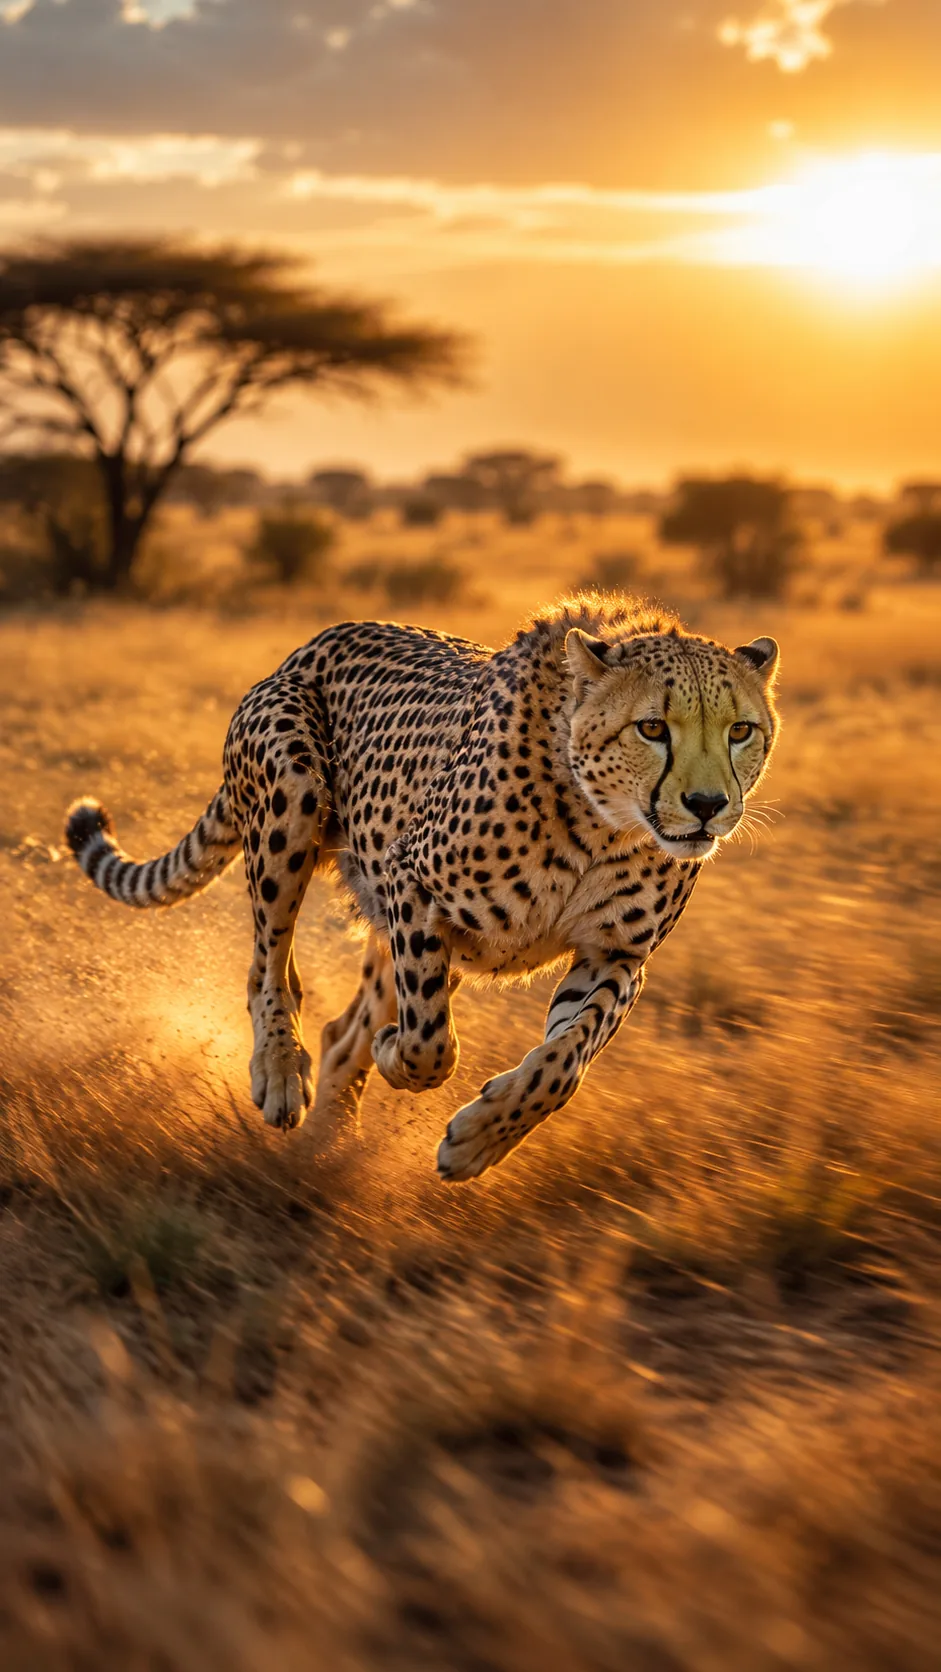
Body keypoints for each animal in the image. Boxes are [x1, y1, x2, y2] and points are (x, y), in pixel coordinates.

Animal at [65, 595, 780, 1182]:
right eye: (652, 728)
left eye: (740, 730)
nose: (708, 806)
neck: (602, 826)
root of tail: (315, 642)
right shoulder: (411, 880)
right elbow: (432, 1044)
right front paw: (400, 1062)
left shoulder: (617, 955)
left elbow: (564, 1063)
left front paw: (481, 1140)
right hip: (291, 796)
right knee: (270, 965)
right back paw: (280, 1074)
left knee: (340, 1030)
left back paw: (324, 1152)